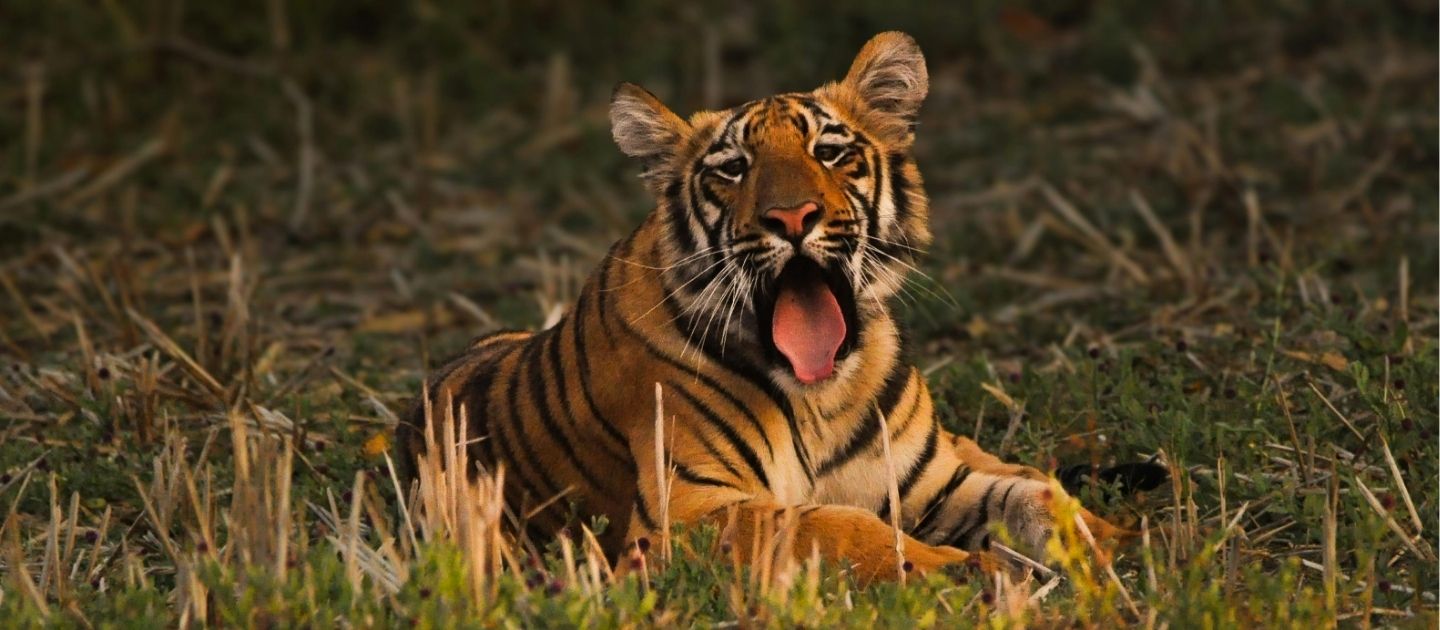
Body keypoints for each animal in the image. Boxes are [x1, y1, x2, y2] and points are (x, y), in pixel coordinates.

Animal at [398, 32, 1139, 583]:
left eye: (830, 152)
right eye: (733, 168)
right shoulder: (684, 512)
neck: (825, 394)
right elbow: (831, 525)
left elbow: (1034, 496)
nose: (792, 217)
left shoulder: (931, 479)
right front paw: (966, 570)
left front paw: (1108, 542)